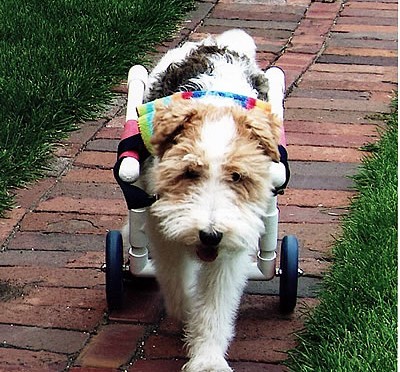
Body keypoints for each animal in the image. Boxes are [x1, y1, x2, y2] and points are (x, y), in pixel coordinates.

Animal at [125, 29, 284, 372]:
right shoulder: (163, 224)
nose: (210, 235)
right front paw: (188, 315)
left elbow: (215, 303)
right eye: (189, 172)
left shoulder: (233, 242)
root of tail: (219, 42)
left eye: (237, 176)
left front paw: (207, 358)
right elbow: (176, 281)